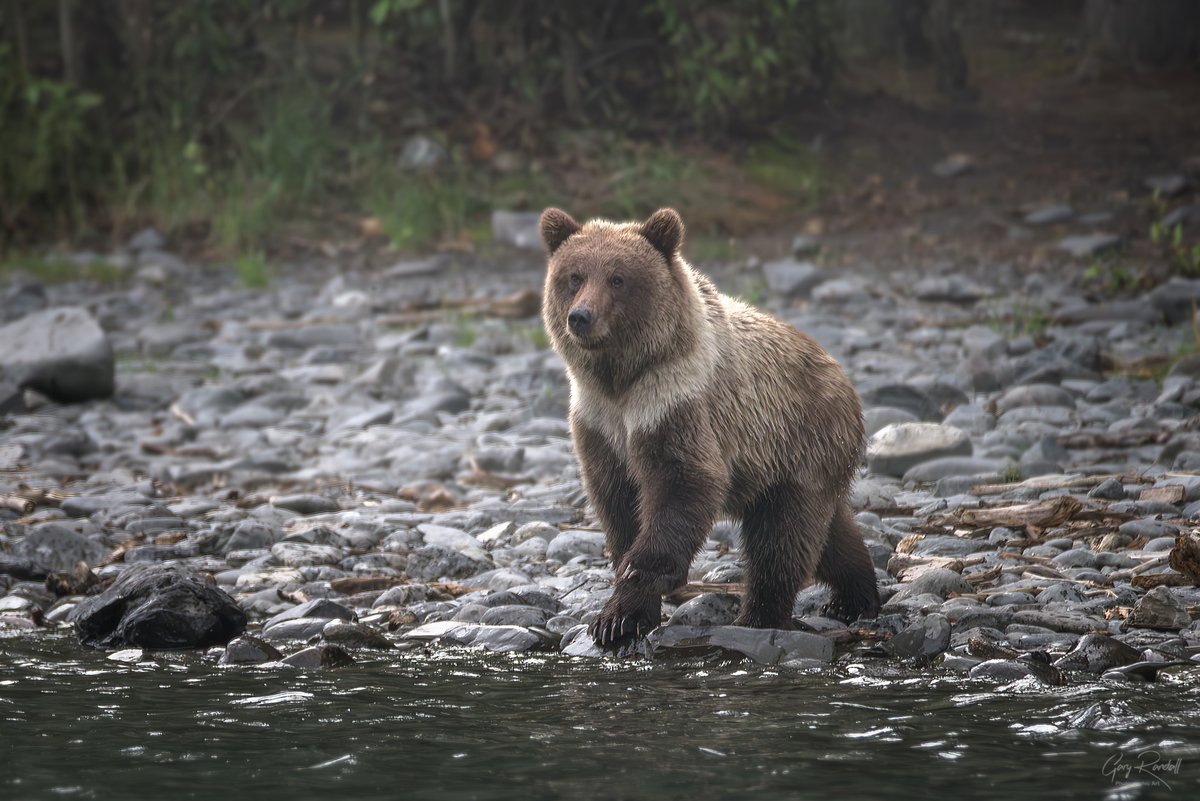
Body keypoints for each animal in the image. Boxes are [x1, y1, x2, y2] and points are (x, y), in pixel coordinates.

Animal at [540, 207, 881, 650]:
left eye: (617, 278)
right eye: (574, 276)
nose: (581, 316)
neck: (621, 379)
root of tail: (840, 372)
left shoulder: (673, 401)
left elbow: (684, 480)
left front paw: (629, 596)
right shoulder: (597, 420)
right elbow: (616, 500)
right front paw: (622, 614)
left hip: (801, 442)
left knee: (782, 539)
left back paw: (760, 617)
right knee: (830, 536)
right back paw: (854, 598)